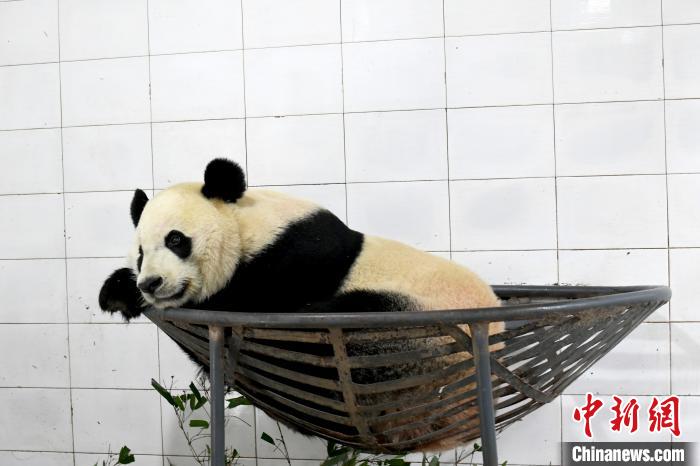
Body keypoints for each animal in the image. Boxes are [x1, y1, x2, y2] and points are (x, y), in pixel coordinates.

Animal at [100, 159, 504, 452]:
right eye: (140, 253)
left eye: (176, 240)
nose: (151, 283)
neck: (247, 225)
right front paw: (118, 291)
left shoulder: (295, 258)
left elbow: (247, 308)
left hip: (407, 333)